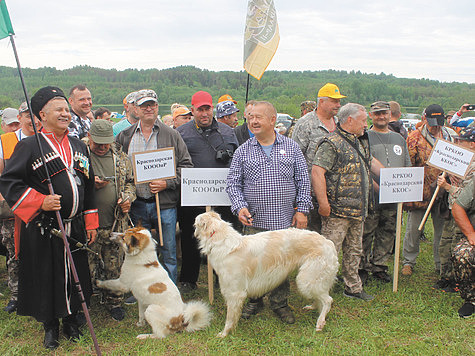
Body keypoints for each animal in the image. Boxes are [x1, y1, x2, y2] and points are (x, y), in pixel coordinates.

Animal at [193, 211, 338, 336]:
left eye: (195, 225)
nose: (193, 234)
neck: (222, 240)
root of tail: (328, 242)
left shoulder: (235, 293)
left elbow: (230, 319)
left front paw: (224, 334)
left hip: (306, 280)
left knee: (328, 300)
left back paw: (320, 323)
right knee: (320, 298)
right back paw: (313, 307)